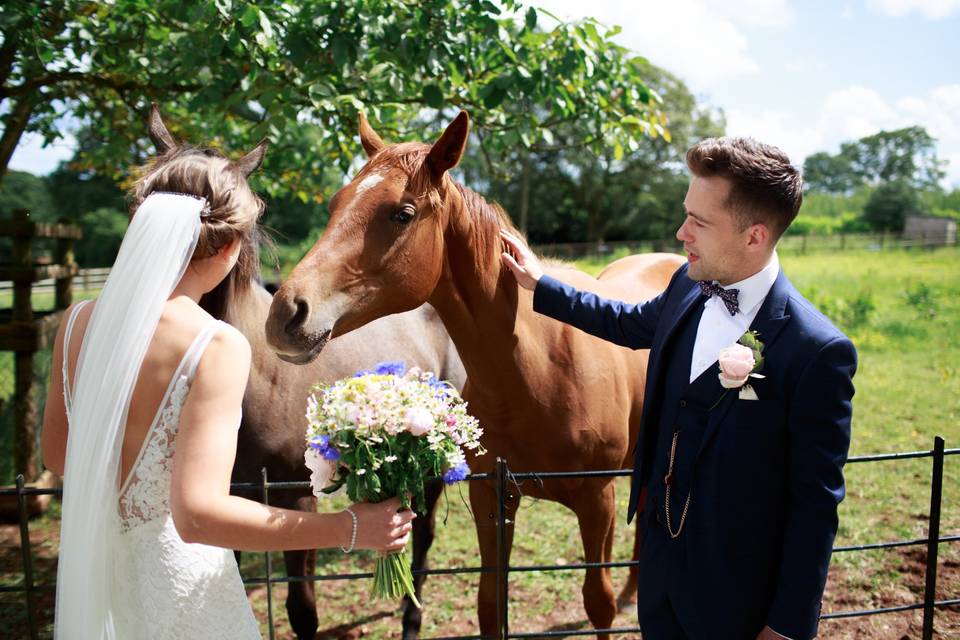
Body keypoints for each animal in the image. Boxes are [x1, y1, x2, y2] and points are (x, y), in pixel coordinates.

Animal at [143, 107, 468, 636]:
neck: (256, 380)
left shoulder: (297, 498)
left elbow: (302, 610)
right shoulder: (228, 500)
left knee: (422, 537)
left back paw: (411, 615)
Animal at [262, 111, 684, 636]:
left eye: (402, 214)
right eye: (336, 204)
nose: (285, 314)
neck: (538, 370)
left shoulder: (597, 501)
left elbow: (597, 602)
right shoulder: (492, 500)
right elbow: (490, 605)